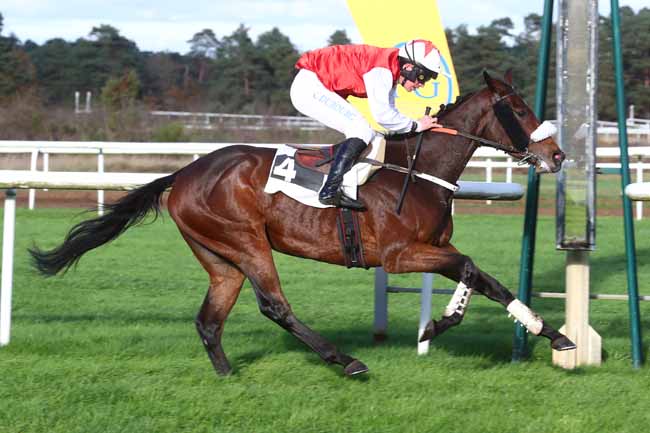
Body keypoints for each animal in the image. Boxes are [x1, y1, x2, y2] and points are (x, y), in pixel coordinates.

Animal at [33, 71, 576, 374]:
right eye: (520, 109)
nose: (557, 154)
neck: (418, 170)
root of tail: (183, 173)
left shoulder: (431, 249)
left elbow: (484, 277)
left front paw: (553, 335)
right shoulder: (400, 256)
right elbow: (469, 268)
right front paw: (438, 326)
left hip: (220, 258)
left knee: (210, 320)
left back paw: (228, 376)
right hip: (247, 242)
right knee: (275, 306)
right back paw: (345, 361)